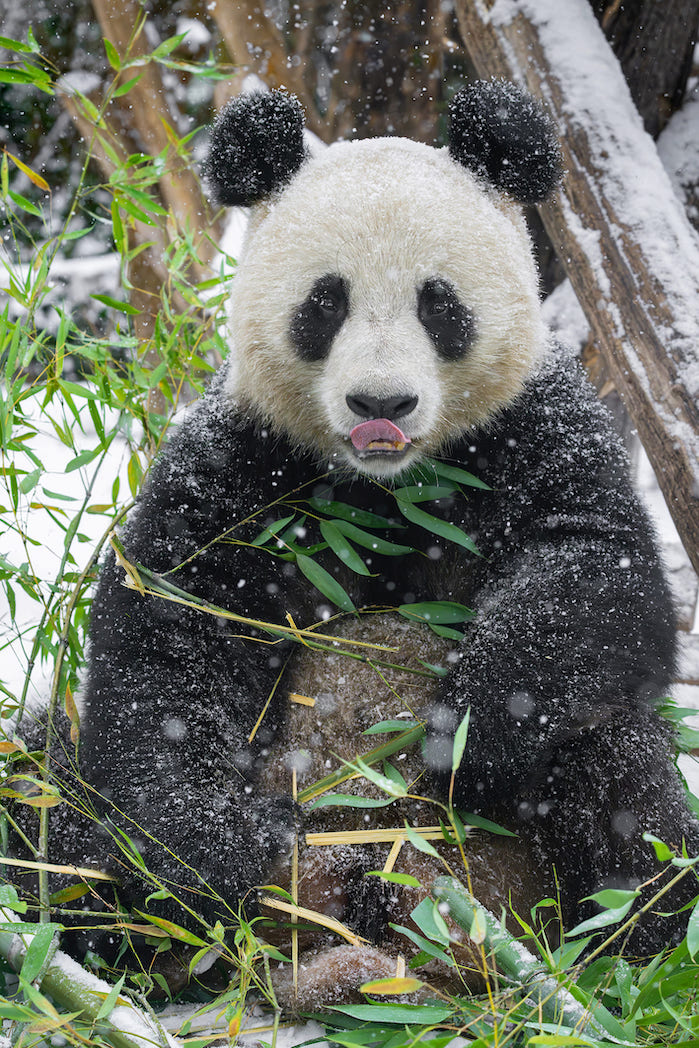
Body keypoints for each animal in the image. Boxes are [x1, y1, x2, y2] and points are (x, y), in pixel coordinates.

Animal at [10, 81, 699, 1009]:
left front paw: (467, 733)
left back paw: (633, 961)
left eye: (438, 303)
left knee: (621, 780)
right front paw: (218, 848)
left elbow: (592, 574)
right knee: (45, 796)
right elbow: (175, 626)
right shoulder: (245, 460)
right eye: (324, 303)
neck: (387, 485)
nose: (382, 403)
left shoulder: (537, 427)